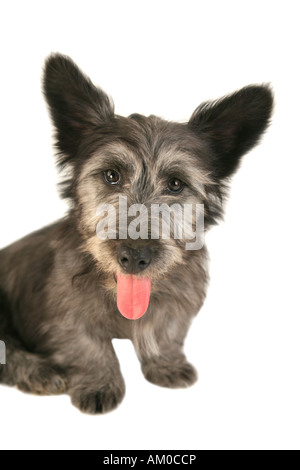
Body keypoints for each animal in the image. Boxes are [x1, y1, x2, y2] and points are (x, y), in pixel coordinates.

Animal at [0, 55, 274, 414]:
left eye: (175, 183)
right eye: (111, 175)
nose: (134, 256)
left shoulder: (178, 301)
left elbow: (164, 330)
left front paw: (166, 364)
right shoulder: (65, 316)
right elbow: (89, 346)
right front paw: (100, 382)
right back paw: (38, 371)